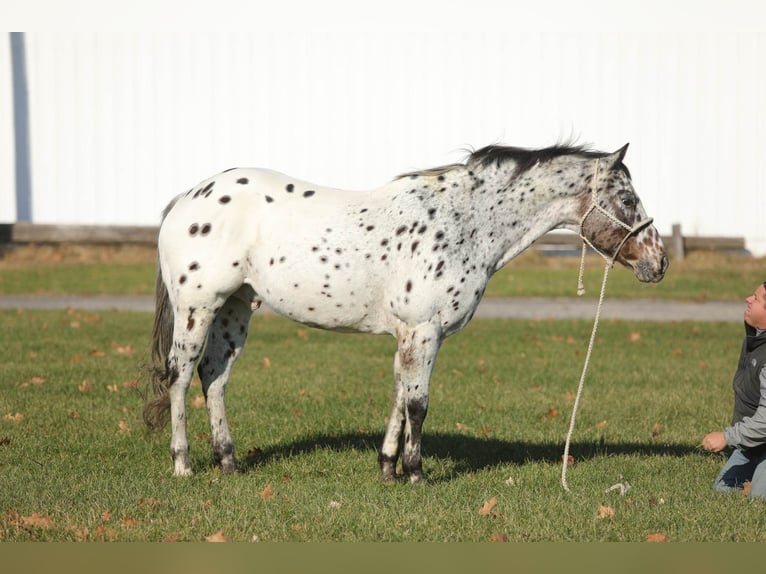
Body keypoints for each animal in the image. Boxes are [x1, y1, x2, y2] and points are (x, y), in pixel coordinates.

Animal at [146, 143, 672, 482]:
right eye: (627, 198)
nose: (659, 262)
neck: (464, 221)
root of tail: (186, 198)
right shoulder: (424, 329)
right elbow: (418, 403)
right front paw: (416, 473)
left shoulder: (409, 335)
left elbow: (400, 395)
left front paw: (388, 469)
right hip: (197, 309)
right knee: (179, 375)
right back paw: (183, 465)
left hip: (235, 309)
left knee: (214, 377)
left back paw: (229, 462)